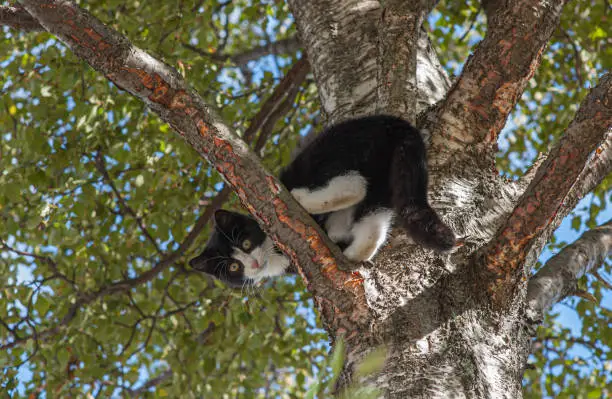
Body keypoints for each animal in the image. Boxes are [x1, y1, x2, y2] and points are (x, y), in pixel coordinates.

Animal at [190, 115, 454, 288]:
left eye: (245, 243)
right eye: (233, 268)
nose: (253, 264)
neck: (276, 254)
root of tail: (393, 122)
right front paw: (337, 236)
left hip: (334, 151)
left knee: (353, 185)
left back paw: (300, 199)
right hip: (384, 173)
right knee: (373, 215)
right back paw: (354, 252)